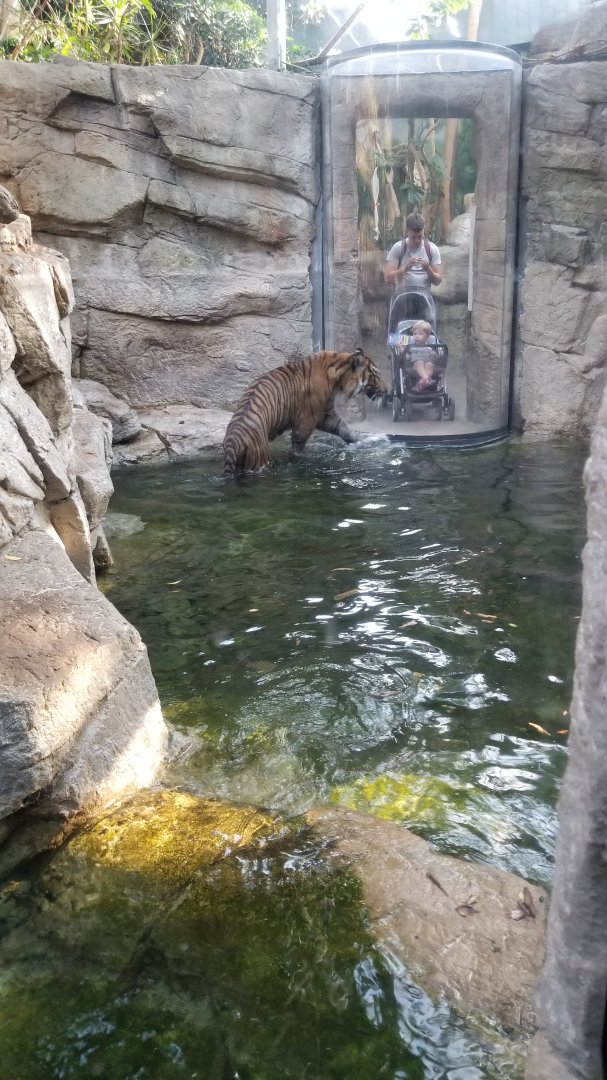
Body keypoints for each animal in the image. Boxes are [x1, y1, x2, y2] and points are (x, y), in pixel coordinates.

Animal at [223, 348, 387, 477]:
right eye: (376, 377)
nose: (387, 391)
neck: (339, 378)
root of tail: (233, 444)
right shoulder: (307, 421)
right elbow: (299, 447)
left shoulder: (324, 416)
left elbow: (344, 429)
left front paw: (365, 441)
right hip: (258, 461)